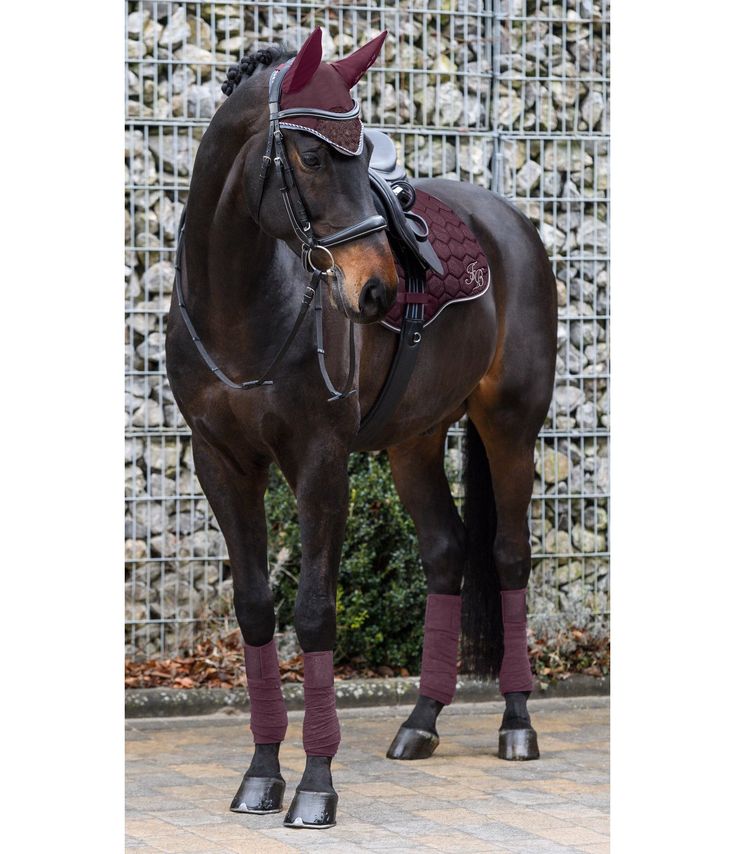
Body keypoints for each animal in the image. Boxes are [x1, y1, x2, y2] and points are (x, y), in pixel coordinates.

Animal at [167, 30, 556, 832]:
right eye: (313, 156)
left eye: (358, 152)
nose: (377, 290)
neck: (240, 302)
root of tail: (511, 224)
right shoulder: (220, 462)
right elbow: (256, 608)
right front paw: (261, 775)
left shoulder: (319, 461)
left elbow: (315, 614)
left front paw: (316, 785)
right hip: (413, 440)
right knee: (445, 551)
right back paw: (420, 722)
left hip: (509, 425)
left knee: (507, 556)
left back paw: (515, 723)